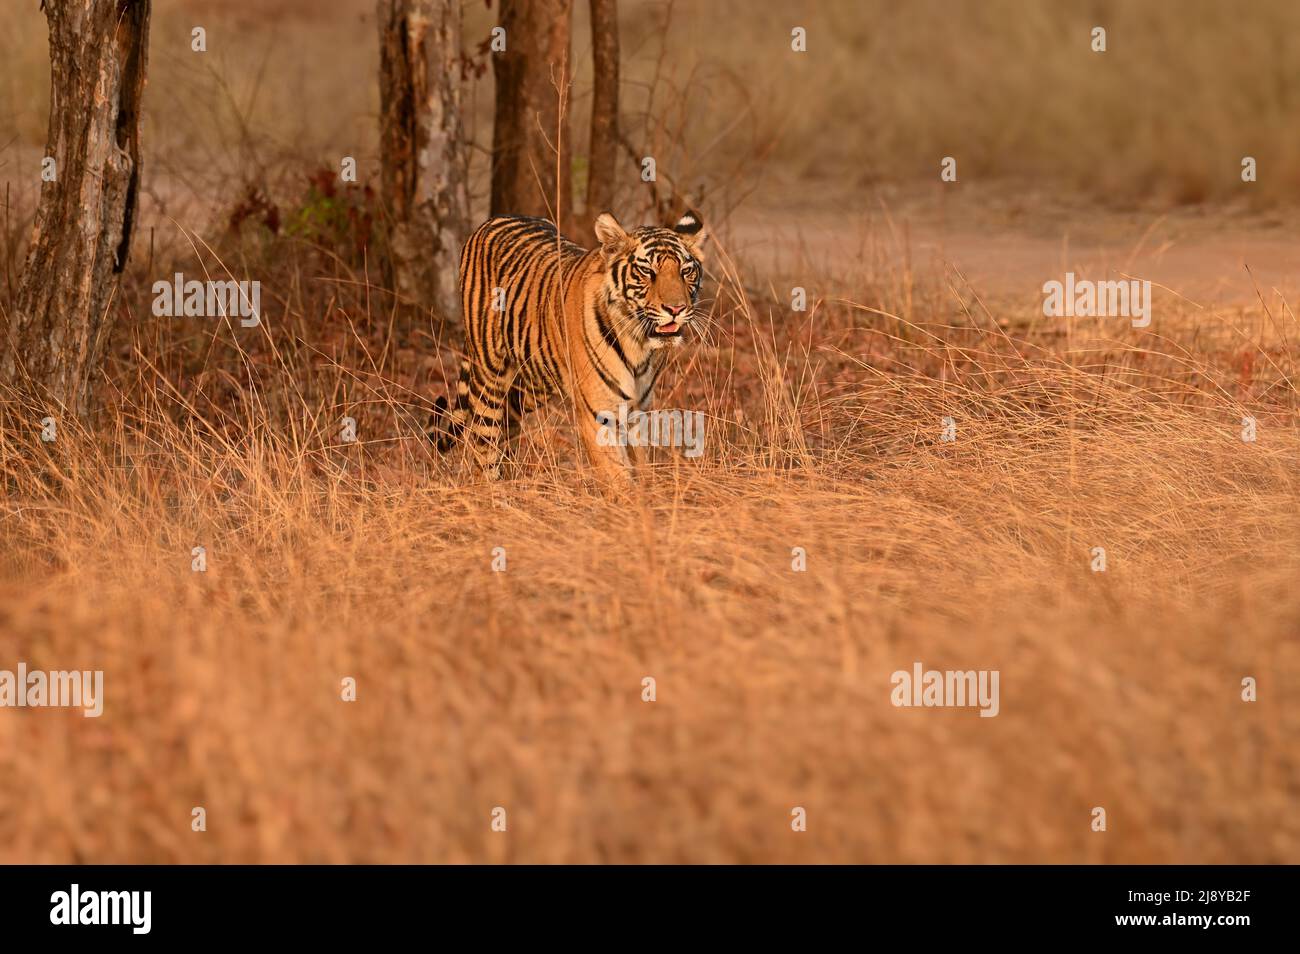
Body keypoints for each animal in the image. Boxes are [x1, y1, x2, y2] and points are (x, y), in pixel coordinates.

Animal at [430, 210, 707, 482]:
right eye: (647, 271)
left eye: (685, 271)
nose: (676, 309)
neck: (639, 345)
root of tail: (494, 219)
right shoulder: (601, 415)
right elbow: (619, 478)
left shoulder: (638, 412)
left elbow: (642, 468)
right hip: (489, 374)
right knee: (484, 439)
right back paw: (493, 488)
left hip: (534, 382)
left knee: (508, 419)